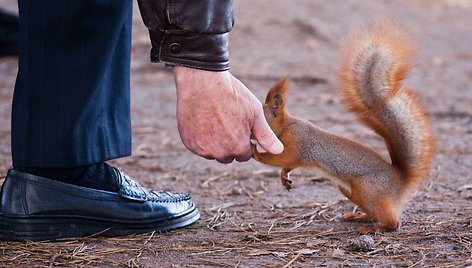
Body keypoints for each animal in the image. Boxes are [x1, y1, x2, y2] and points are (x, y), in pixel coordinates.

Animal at [254, 22, 436, 233]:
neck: (287, 126)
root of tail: (400, 182)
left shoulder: (297, 143)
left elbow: (282, 158)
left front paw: (256, 153)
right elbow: (287, 164)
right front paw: (284, 176)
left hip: (367, 189)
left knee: (393, 222)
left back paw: (372, 228)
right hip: (350, 190)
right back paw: (360, 216)